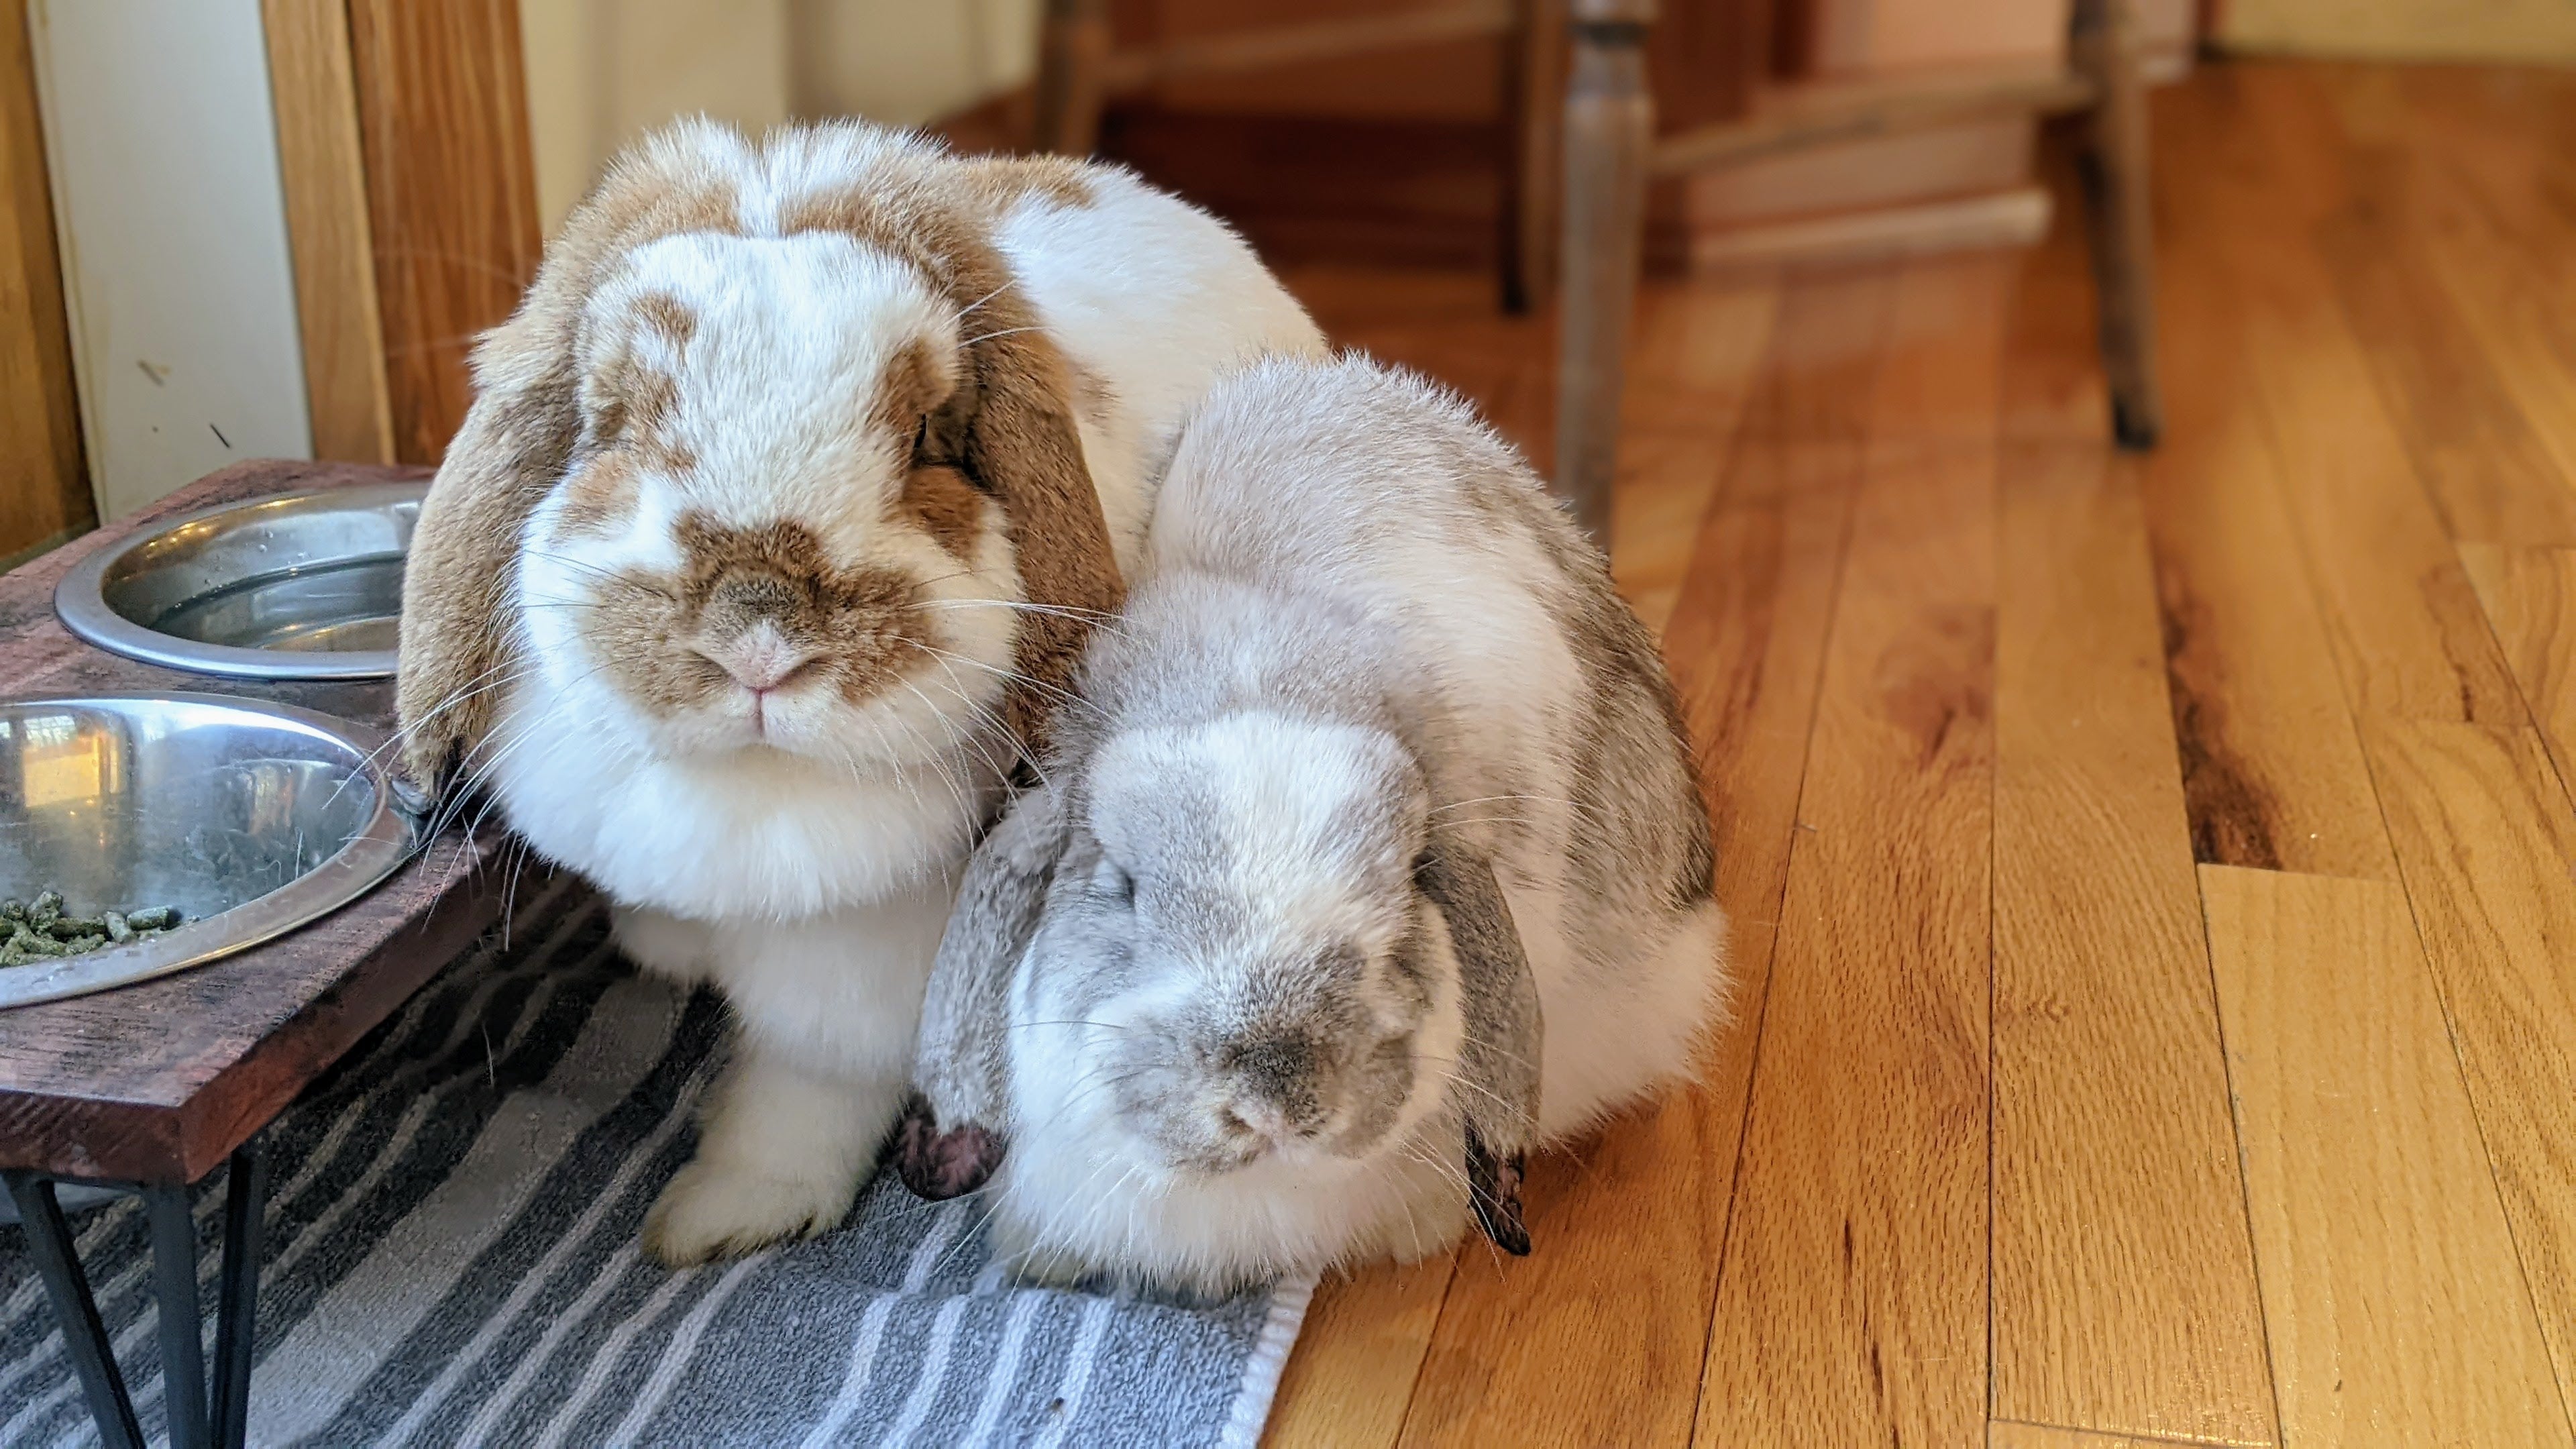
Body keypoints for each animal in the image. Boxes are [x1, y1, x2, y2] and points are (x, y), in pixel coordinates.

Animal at [392, 118, 1325, 1265]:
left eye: (926, 435)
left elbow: (810, 1082)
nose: (758, 639)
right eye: (610, 422)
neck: (752, 791)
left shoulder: (860, 961)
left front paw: (726, 1213)